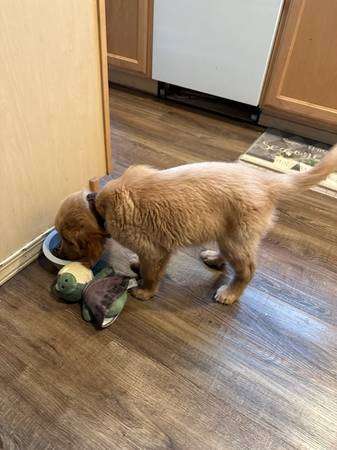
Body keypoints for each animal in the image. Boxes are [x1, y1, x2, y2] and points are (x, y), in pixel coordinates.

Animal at [55, 146, 336, 304]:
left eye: (67, 240)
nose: (57, 251)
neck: (99, 207)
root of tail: (266, 181)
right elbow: (144, 263)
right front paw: (136, 264)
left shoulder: (155, 250)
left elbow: (152, 272)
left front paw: (146, 291)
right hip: (227, 234)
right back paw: (214, 258)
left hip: (237, 238)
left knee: (247, 270)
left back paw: (230, 293)